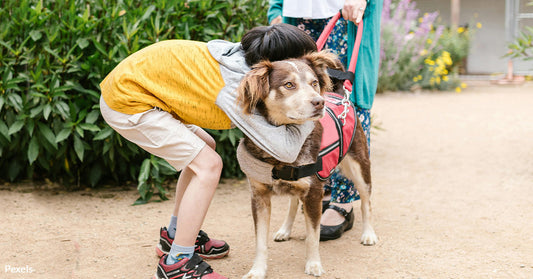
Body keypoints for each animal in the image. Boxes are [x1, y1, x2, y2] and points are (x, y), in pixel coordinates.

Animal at [237, 50, 378, 279]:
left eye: (314, 83)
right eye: (288, 85)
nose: (319, 102)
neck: (284, 143)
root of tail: (341, 96)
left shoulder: (314, 193)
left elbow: (313, 236)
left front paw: (313, 265)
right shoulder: (259, 195)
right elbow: (260, 241)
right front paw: (257, 270)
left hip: (359, 167)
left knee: (366, 201)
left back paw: (368, 234)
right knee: (294, 202)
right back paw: (285, 230)